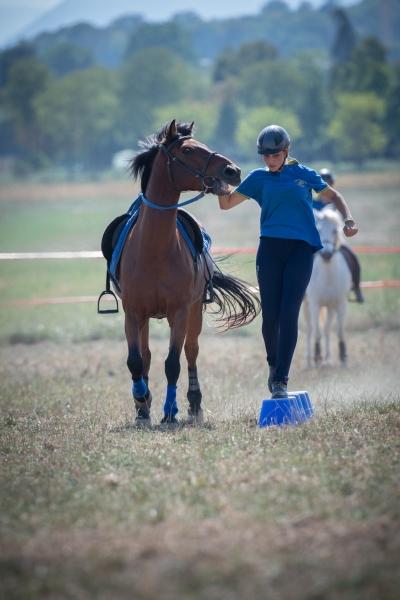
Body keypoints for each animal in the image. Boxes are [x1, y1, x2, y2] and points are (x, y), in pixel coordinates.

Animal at [120, 119, 260, 424]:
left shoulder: (181, 311)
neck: (154, 249)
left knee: (191, 351)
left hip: (194, 312)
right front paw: (141, 406)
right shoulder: (133, 312)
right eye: (186, 150)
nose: (233, 171)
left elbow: (173, 363)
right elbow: (135, 361)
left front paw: (170, 411)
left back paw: (194, 404)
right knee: (146, 355)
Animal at [304, 207, 352, 366]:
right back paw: (309, 360)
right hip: (305, 305)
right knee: (310, 329)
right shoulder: (314, 304)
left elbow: (339, 331)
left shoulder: (340, 303)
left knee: (326, 329)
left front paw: (343, 358)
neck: (328, 278)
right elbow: (316, 331)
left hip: (329, 307)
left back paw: (328, 358)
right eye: (318, 229)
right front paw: (317, 357)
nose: (326, 254)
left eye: (335, 231)